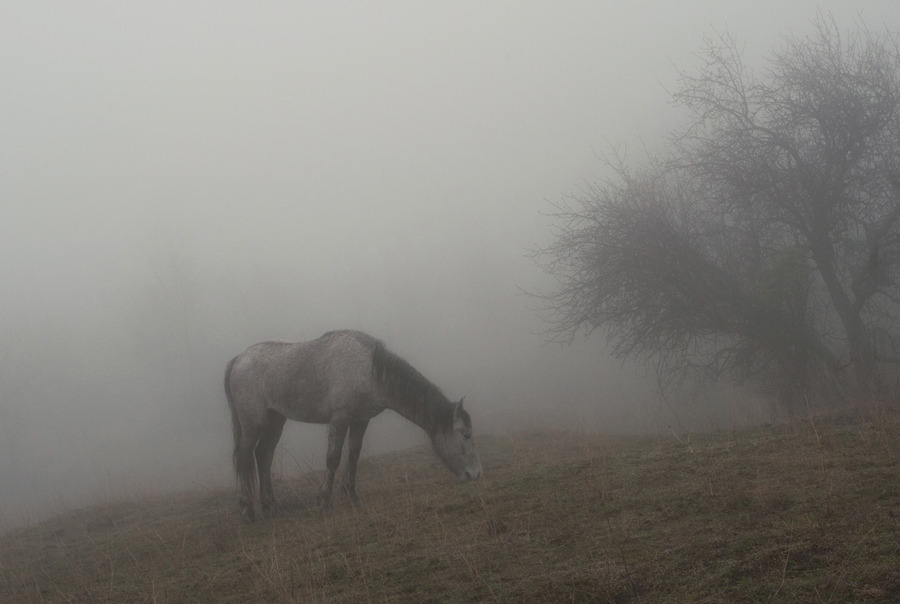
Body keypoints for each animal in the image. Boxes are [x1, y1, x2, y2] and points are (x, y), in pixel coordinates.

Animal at [224, 328, 482, 520]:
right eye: (466, 434)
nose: (475, 474)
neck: (368, 370)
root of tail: (239, 359)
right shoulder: (339, 420)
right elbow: (333, 459)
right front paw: (324, 502)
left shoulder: (360, 420)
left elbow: (353, 456)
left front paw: (352, 497)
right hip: (254, 423)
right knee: (245, 457)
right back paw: (247, 510)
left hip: (276, 420)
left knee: (263, 456)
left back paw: (271, 507)